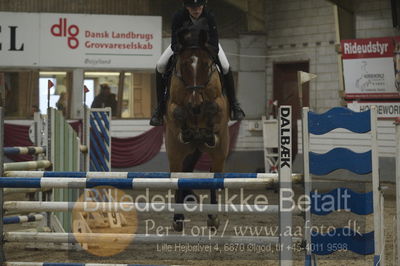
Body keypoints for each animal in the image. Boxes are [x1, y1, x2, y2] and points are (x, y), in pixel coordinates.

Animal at [164, 22, 230, 231]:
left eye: (206, 65)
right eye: (184, 65)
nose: (195, 104)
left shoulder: (219, 104)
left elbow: (213, 107)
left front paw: (206, 130)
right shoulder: (172, 105)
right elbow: (177, 111)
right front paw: (187, 130)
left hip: (219, 153)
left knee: (213, 177)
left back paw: (213, 217)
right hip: (175, 153)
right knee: (178, 177)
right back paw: (178, 218)